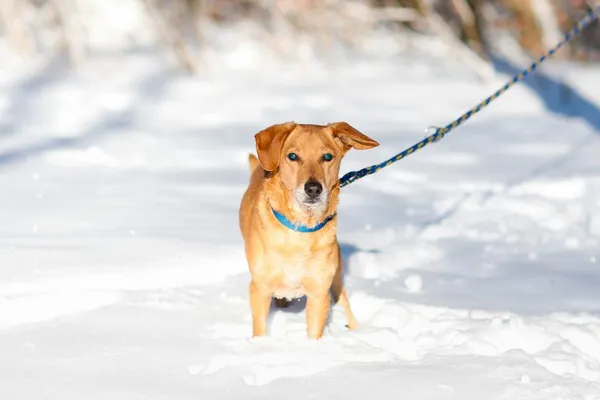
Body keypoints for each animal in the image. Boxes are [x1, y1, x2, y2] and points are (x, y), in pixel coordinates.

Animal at [237, 120, 378, 340]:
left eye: (327, 156)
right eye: (292, 156)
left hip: (336, 280)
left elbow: (314, 332)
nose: (313, 188)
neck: (300, 228)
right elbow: (260, 329)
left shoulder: (319, 293)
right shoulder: (260, 288)